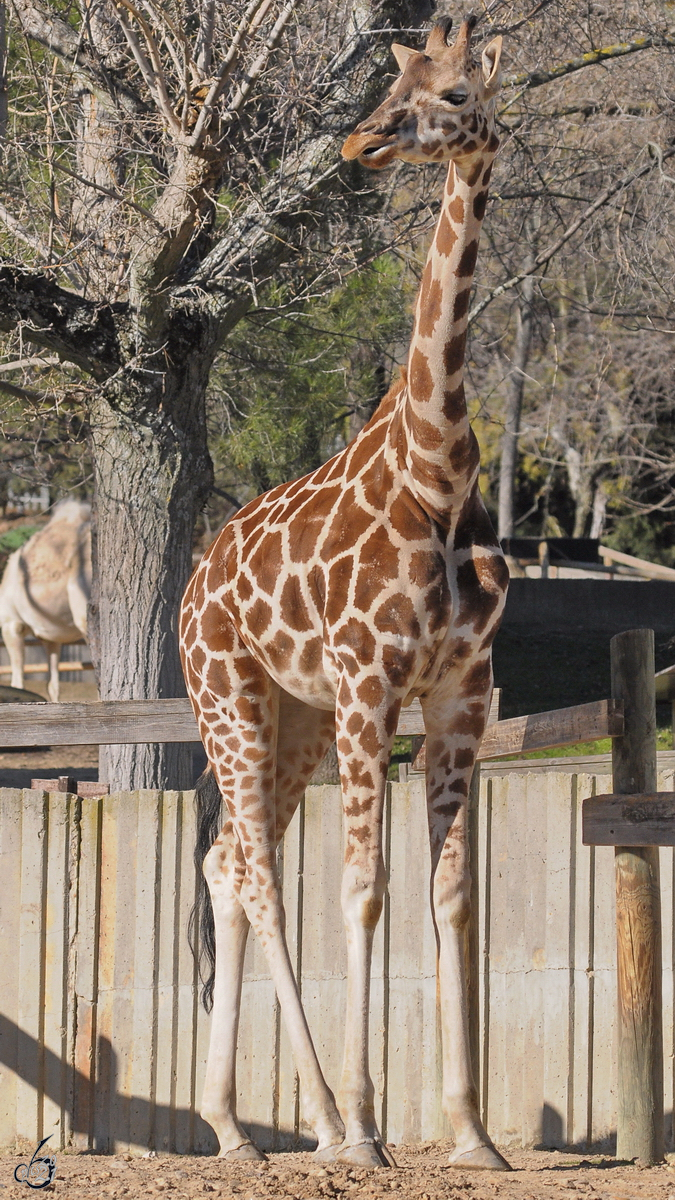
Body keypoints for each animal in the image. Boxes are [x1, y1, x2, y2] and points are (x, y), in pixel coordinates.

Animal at [181, 9, 506, 1171]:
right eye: (394, 86)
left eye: (453, 96)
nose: (362, 142)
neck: (439, 470)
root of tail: (190, 587)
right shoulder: (374, 685)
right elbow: (363, 892)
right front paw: (370, 1125)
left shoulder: (461, 691)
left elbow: (452, 896)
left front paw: (471, 1135)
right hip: (230, 698)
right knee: (261, 876)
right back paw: (323, 1120)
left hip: (294, 717)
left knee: (226, 861)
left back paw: (236, 1126)